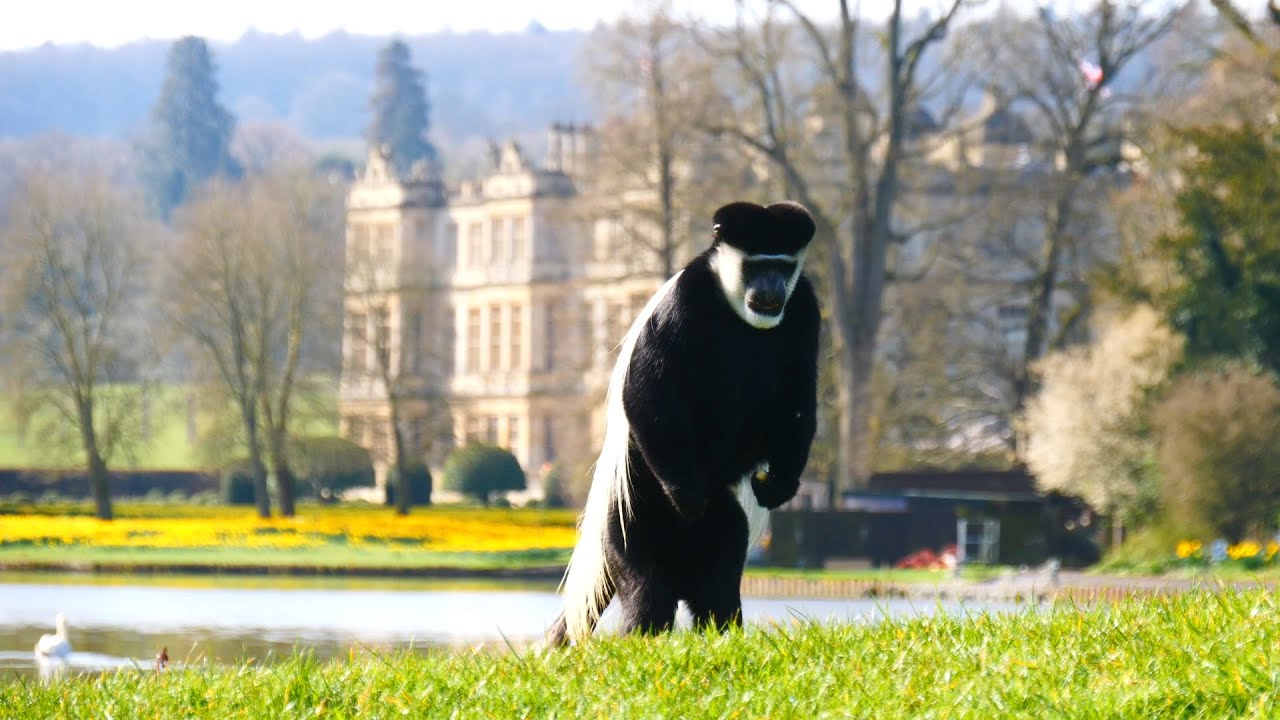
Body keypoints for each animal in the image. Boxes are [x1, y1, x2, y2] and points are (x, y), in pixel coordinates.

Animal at [546, 200, 820, 646]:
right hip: (630, 515)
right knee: (647, 593)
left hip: (720, 525)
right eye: (756, 265)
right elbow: (648, 391)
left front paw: (779, 484)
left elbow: (798, 396)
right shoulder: (683, 301)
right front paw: (686, 494)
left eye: (782, 266)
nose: (771, 289)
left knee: (718, 587)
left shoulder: (803, 307)